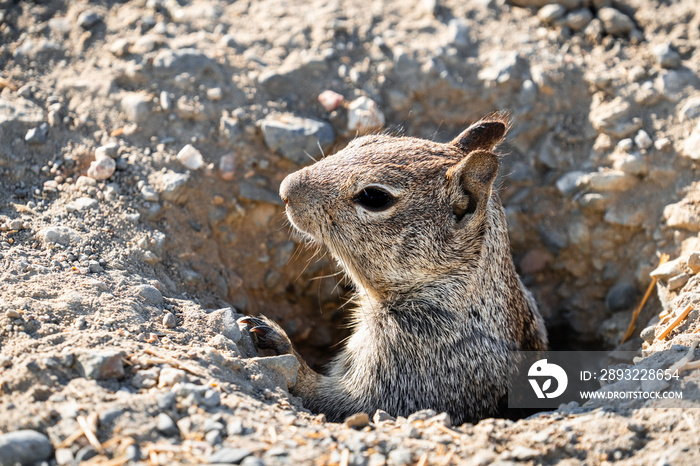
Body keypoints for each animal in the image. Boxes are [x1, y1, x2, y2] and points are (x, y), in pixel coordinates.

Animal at [239, 114, 548, 424]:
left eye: (374, 197)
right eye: (362, 142)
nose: (285, 189)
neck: (449, 287)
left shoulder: (415, 363)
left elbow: (345, 403)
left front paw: (280, 343)